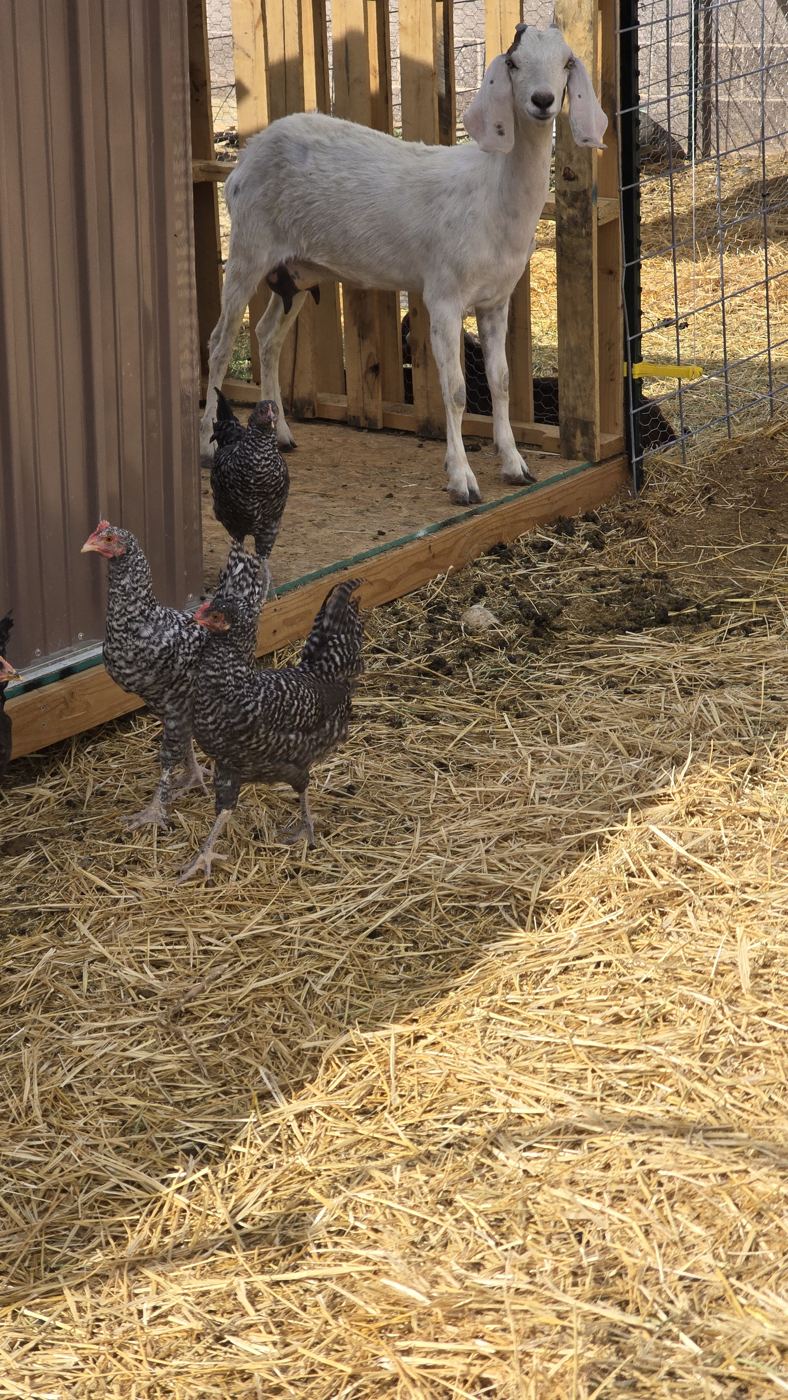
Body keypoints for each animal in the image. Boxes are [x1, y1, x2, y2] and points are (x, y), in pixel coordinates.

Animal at [200, 22, 607, 507]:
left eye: (567, 62)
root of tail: (246, 157)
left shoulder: (496, 300)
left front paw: (515, 465)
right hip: (248, 248)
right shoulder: (444, 297)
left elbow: (502, 380)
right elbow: (456, 391)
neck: (490, 194)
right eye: (513, 62)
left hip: (296, 272)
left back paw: (280, 435)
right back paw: (206, 445)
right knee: (220, 342)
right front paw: (462, 480)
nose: (543, 100)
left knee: (266, 337)